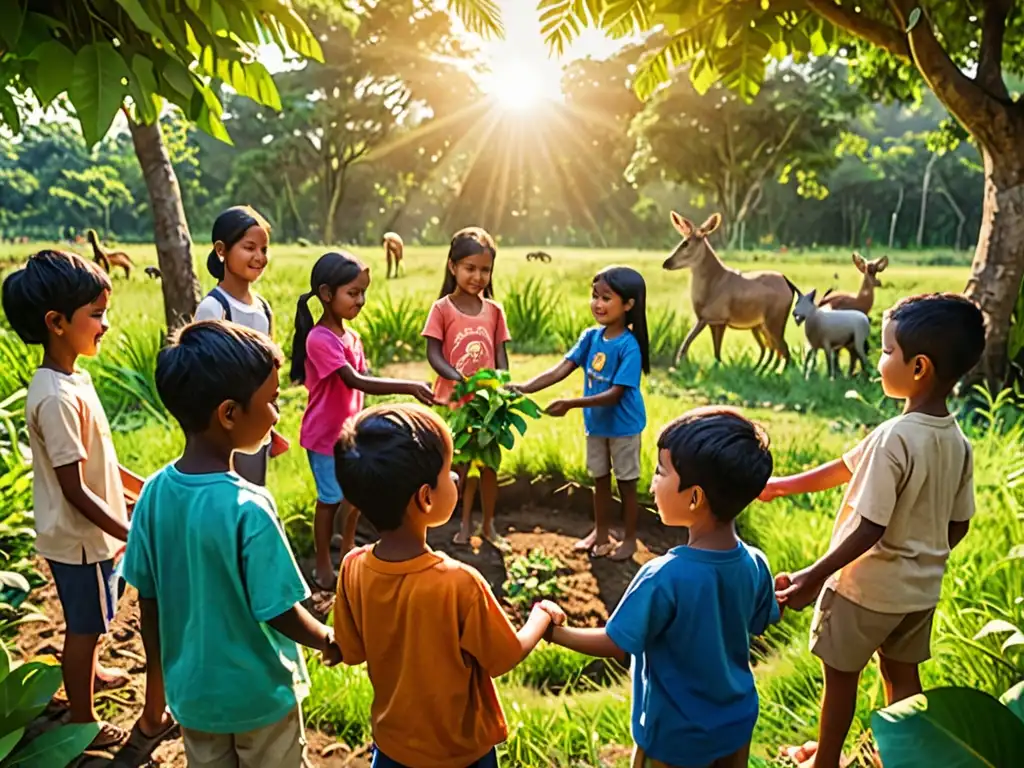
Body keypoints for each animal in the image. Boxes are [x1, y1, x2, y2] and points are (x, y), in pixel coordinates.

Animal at [663, 211, 798, 370]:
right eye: (682, 241)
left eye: (685, 243)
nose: (666, 262)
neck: (711, 288)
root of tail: (789, 284)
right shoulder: (708, 319)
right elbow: (700, 345)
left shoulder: (719, 317)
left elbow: (709, 348)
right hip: (764, 323)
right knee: (775, 348)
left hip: (775, 318)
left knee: (783, 349)